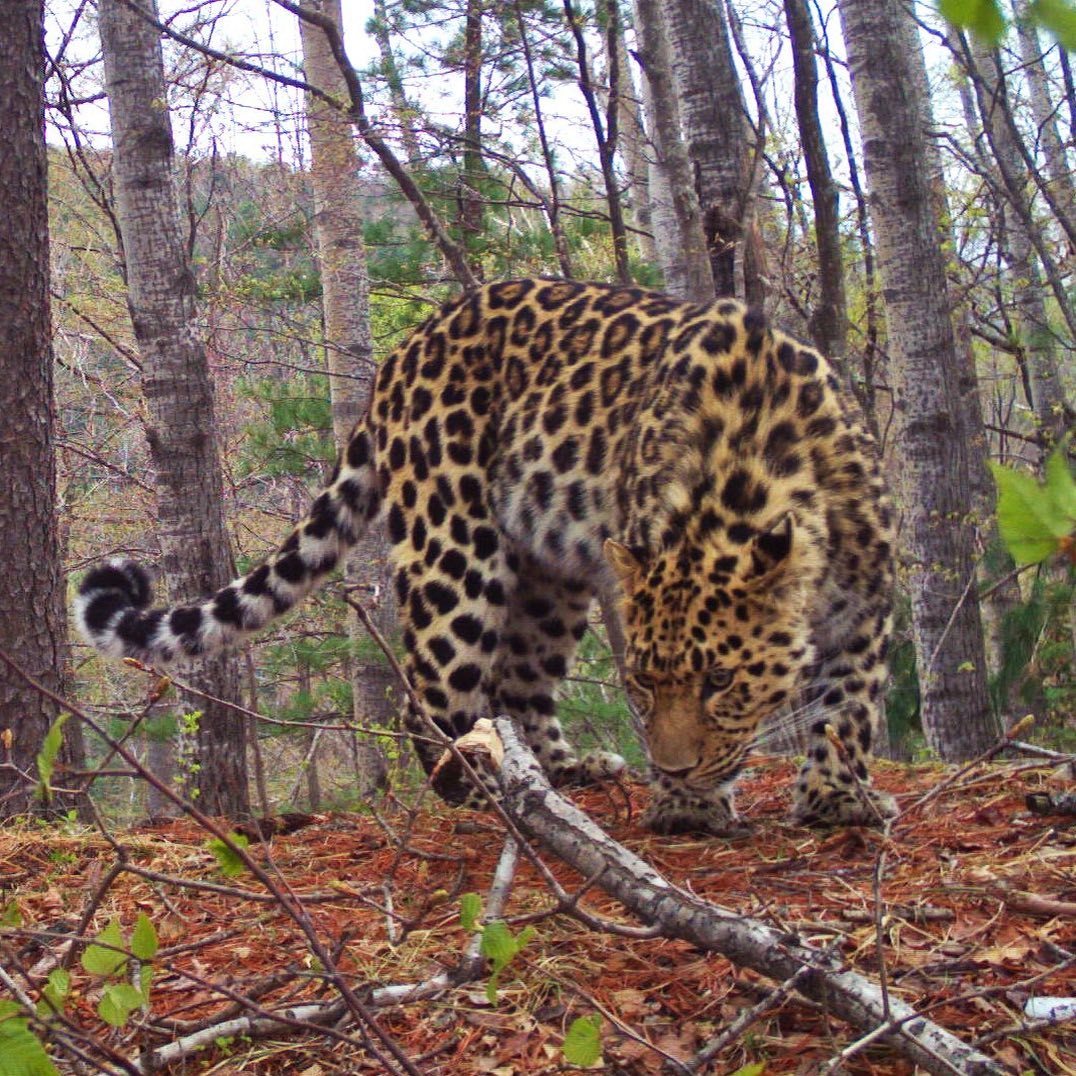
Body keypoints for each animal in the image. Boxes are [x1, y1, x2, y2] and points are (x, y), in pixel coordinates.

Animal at [75, 277, 895, 830]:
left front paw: (836, 796)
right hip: (455, 552)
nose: (673, 767)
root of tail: (405, 350)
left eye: (721, 679)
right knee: (431, 699)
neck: (752, 474)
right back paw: (478, 788)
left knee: (519, 684)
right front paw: (689, 805)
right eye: (642, 680)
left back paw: (565, 771)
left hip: (551, 573)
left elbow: (851, 704)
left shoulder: (869, 602)